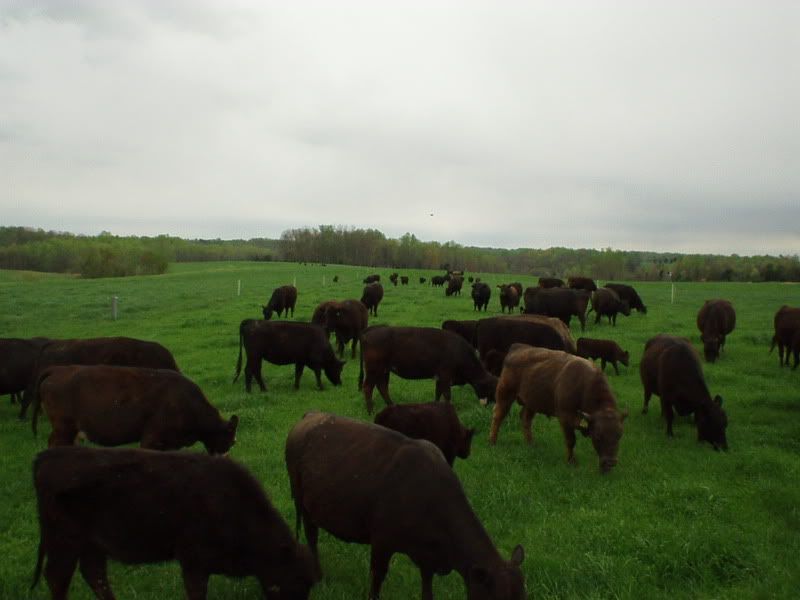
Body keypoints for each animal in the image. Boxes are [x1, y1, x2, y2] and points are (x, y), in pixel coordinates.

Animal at [33, 446, 318, 600]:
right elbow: (196, 591)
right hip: (64, 541)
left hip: (91, 544)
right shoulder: (193, 560)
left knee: (94, 574)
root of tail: (47, 457)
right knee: (58, 577)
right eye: (296, 583)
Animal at [286, 412, 526, 599]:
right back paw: (318, 575)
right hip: (302, 502)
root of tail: (310, 416)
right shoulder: (381, 542)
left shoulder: (428, 557)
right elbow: (376, 581)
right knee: (311, 536)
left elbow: (427, 591)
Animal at [358, 326, 497, 413]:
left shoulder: (440, 378)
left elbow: (438, 393)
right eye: (491, 389)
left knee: (382, 387)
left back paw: (392, 406)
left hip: (384, 370)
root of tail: (370, 330)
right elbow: (447, 395)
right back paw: (370, 411)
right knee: (368, 388)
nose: (490, 406)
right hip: (374, 369)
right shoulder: (446, 376)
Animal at [489, 345, 627, 473]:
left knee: (525, 419)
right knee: (498, 416)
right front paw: (571, 462)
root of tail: (518, 348)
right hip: (505, 395)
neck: (584, 385)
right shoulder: (565, 418)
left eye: (619, 435)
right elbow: (571, 441)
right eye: (598, 436)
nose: (611, 462)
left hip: (531, 403)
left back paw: (531, 444)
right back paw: (492, 442)